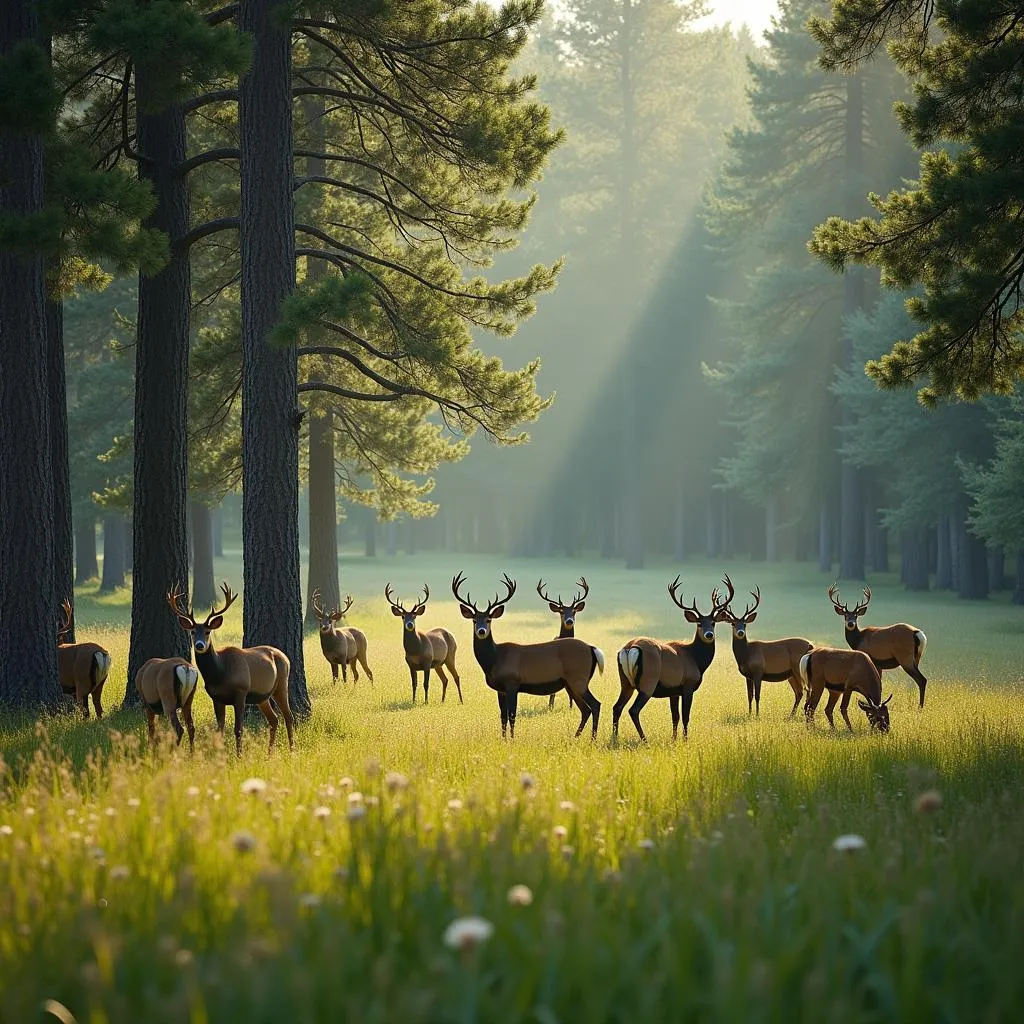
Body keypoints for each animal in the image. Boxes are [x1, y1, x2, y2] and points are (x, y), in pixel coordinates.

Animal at [163, 581, 292, 757]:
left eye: (208, 631)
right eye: (192, 632)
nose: (200, 645)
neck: (220, 672)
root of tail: (285, 657)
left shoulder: (241, 691)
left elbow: (238, 729)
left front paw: (239, 756)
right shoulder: (216, 698)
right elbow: (220, 730)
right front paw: (220, 754)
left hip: (281, 684)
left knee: (288, 716)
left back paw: (292, 750)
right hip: (262, 697)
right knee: (273, 719)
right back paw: (269, 753)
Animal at [610, 573, 733, 741]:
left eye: (713, 623)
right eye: (699, 624)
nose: (709, 635)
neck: (696, 660)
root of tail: (630, 648)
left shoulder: (674, 690)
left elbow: (675, 716)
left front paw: (674, 739)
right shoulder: (688, 684)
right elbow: (686, 716)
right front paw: (685, 740)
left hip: (625, 681)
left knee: (617, 707)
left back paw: (615, 738)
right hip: (649, 680)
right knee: (633, 710)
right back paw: (644, 739)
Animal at [724, 585, 811, 720]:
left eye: (745, 624)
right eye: (733, 623)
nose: (740, 632)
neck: (746, 655)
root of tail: (811, 645)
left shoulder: (758, 671)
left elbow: (757, 696)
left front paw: (757, 715)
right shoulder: (748, 676)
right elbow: (749, 696)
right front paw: (749, 714)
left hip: (798, 669)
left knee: (805, 690)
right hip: (791, 674)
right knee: (799, 692)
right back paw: (791, 716)